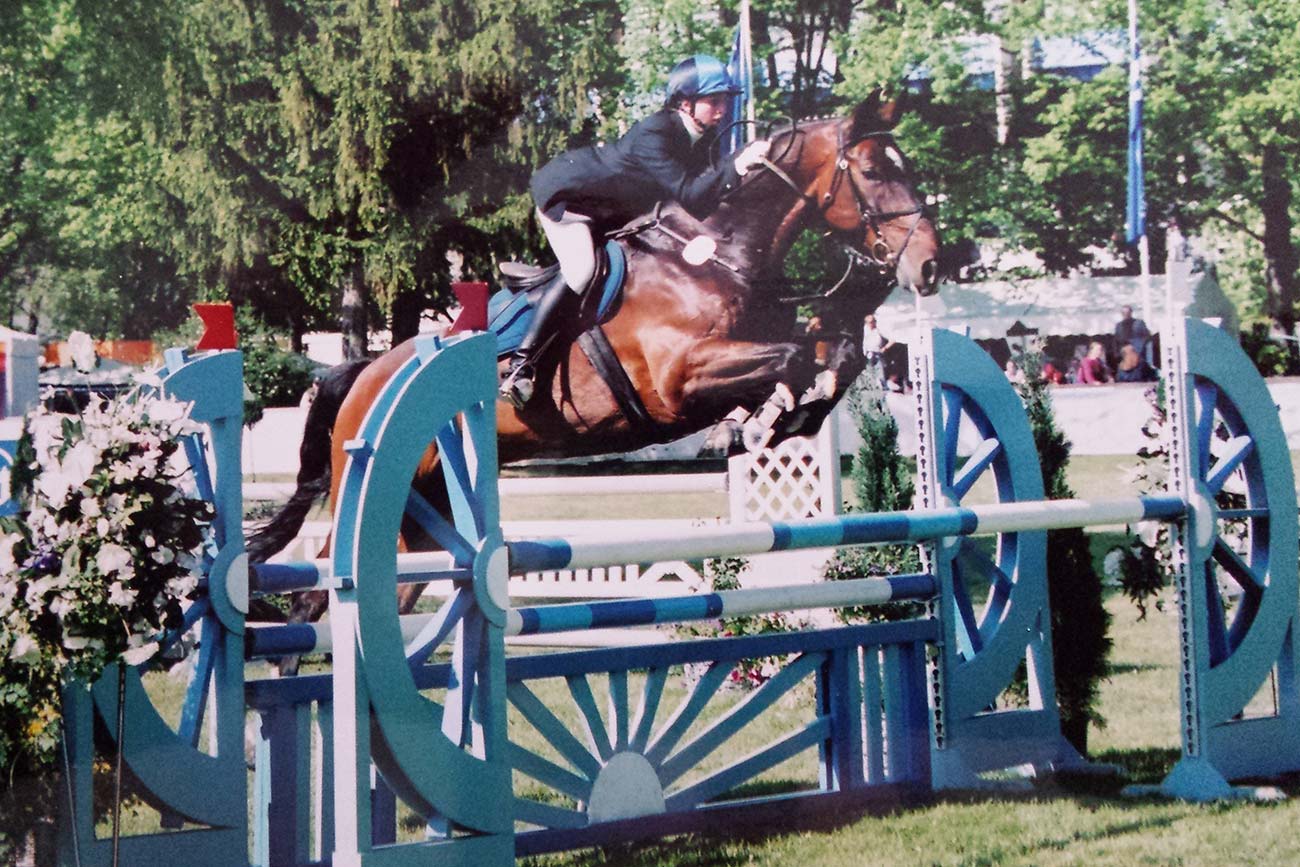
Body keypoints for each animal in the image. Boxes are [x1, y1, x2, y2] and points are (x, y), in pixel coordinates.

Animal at [246, 90, 941, 666]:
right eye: (875, 171)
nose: (931, 266)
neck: (719, 256)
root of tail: (368, 370)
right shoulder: (681, 382)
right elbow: (794, 359)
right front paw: (758, 423)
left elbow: (834, 353)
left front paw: (784, 416)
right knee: (318, 592)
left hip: (424, 516)